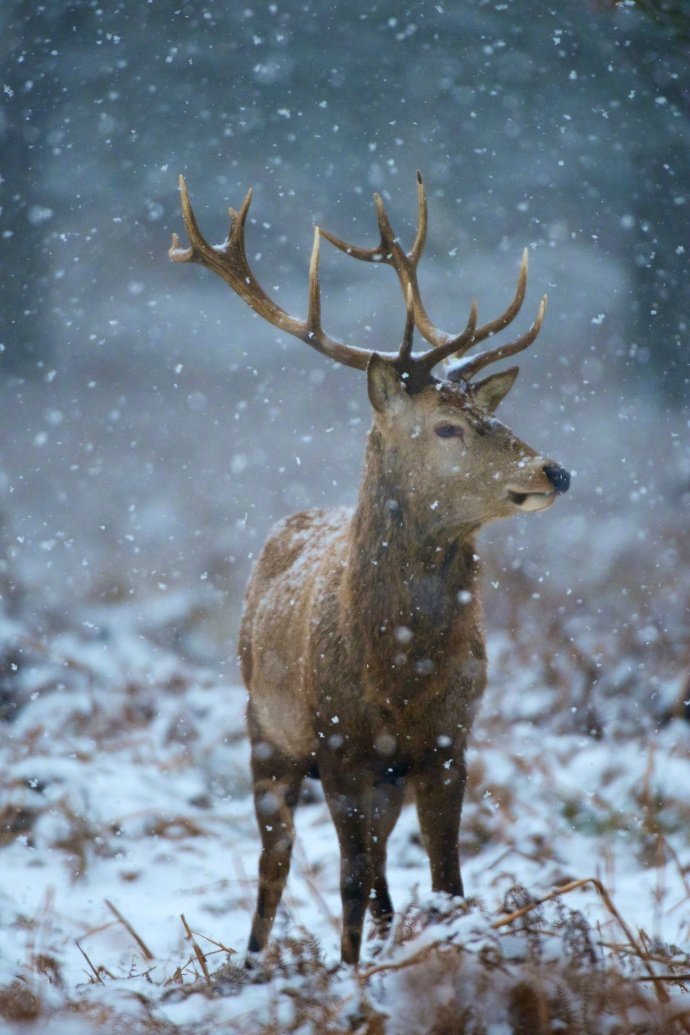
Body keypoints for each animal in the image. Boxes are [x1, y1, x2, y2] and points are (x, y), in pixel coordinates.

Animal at [169, 173, 571, 964]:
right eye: (446, 426)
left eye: (493, 414)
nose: (554, 470)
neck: (397, 672)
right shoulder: (341, 748)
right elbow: (350, 881)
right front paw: (349, 972)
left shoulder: (449, 745)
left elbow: (447, 880)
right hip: (266, 730)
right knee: (279, 859)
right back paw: (255, 958)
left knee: (379, 868)